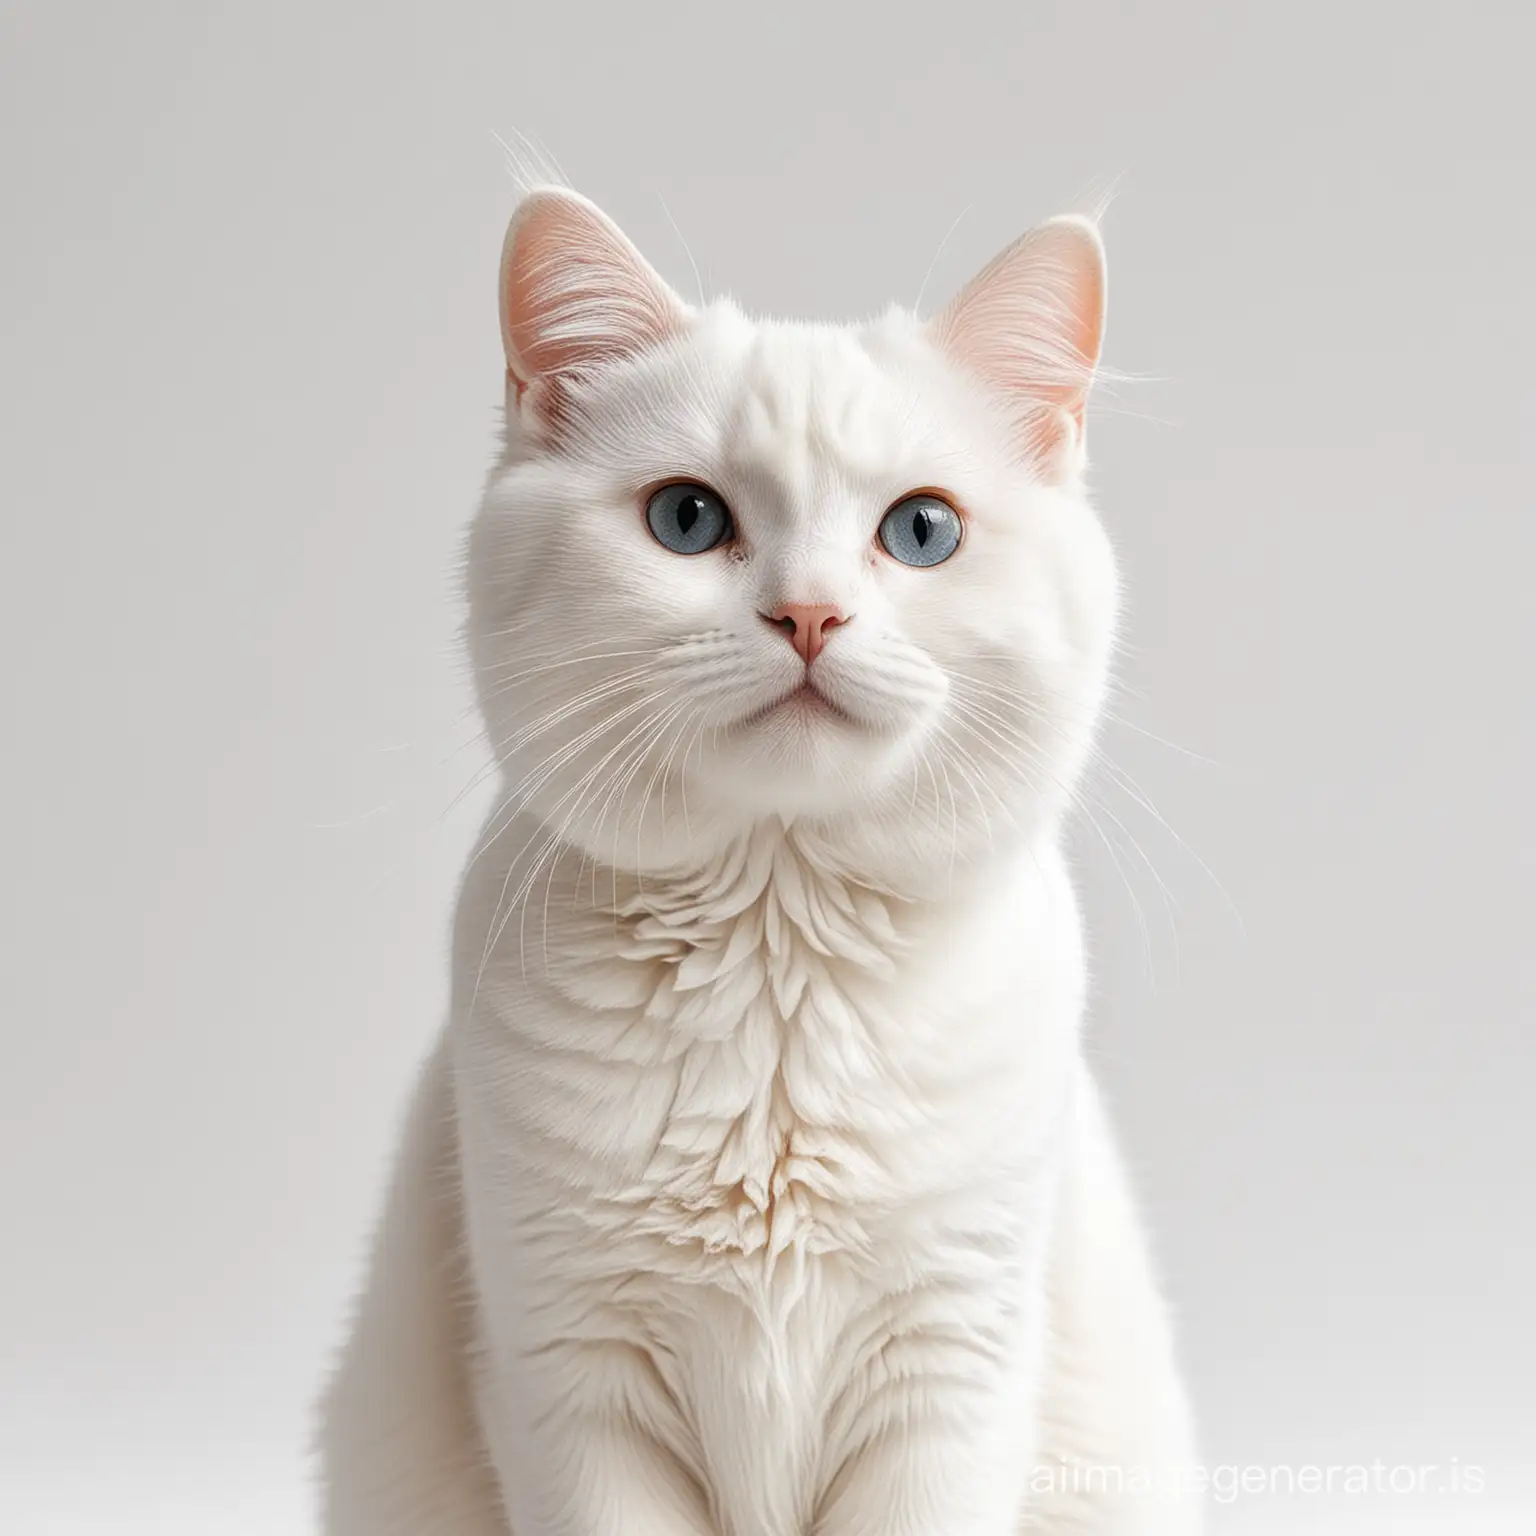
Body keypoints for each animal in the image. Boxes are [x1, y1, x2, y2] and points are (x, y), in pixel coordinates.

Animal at [321, 185, 1198, 1529]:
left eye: (922, 531)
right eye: (688, 519)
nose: (809, 616)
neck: (777, 957)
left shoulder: (951, 1378)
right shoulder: (568, 1383)